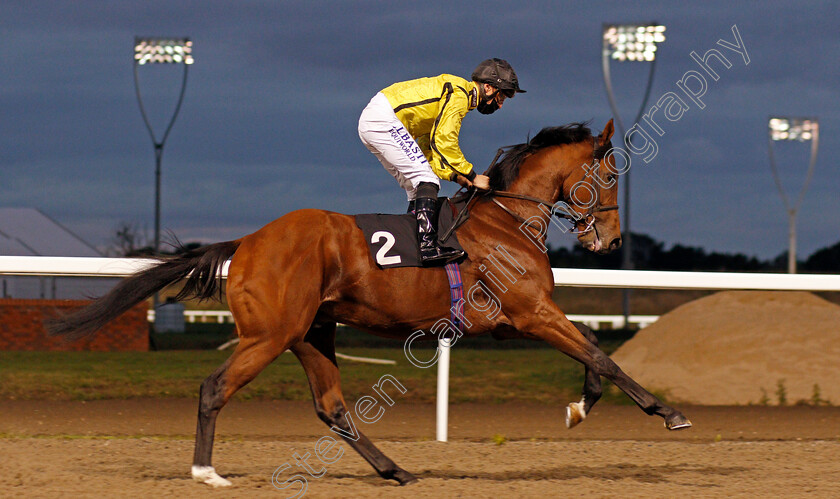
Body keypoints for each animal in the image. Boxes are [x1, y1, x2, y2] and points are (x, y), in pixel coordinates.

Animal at [49, 120, 688, 488]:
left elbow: (594, 349)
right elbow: (601, 355)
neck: (507, 219)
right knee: (214, 388)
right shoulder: (530, 313)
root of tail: (248, 241)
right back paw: (206, 471)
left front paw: (581, 407)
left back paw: (396, 469)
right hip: (270, 335)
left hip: (312, 333)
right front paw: (666, 411)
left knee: (332, 407)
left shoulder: (520, 321)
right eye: (611, 174)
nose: (610, 240)